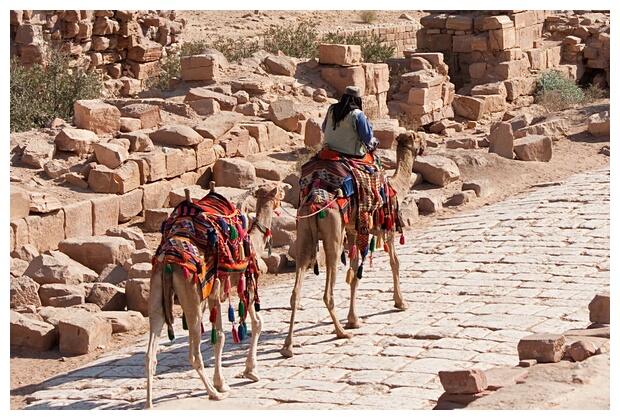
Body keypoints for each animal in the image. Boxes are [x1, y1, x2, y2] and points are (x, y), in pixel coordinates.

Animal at [145, 180, 284, 406]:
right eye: (277, 188)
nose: (286, 188)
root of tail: (168, 262)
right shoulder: (241, 284)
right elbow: (254, 324)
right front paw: (249, 372)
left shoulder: (213, 295)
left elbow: (218, 337)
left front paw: (224, 381)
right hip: (192, 298)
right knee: (193, 354)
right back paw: (213, 393)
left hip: (157, 293)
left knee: (150, 353)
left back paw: (148, 404)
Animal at [280, 131, 426, 358]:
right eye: (417, 138)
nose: (424, 144)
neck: (394, 187)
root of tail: (313, 202)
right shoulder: (388, 228)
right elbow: (395, 262)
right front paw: (401, 302)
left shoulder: (354, 230)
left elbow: (355, 274)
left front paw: (354, 320)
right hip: (333, 234)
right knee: (327, 290)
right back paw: (341, 332)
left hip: (303, 230)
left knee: (296, 290)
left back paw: (287, 347)